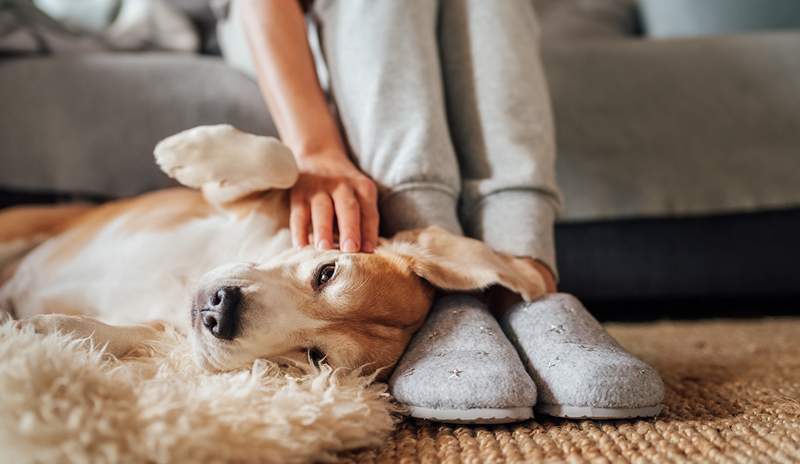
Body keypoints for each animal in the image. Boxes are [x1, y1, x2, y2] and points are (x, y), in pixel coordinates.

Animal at [0, 126, 544, 376]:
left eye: (316, 357)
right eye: (327, 272)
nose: (220, 311)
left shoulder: (168, 332)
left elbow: (127, 334)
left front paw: (48, 331)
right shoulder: (234, 202)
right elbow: (281, 161)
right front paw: (186, 152)